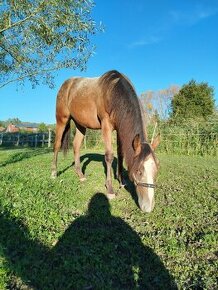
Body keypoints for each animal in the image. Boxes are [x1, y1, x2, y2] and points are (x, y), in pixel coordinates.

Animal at [51, 69, 160, 212]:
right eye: (139, 171)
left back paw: (80, 175)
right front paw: (110, 189)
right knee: (57, 145)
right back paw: (53, 173)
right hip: (62, 119)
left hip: (80, 125)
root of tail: (67, 84)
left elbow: (121, 154)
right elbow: (109, 156)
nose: (148, 207)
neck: (113, 91)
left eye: (156, 170)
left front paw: (121, 181)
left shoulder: (119, 128)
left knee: (76, 146)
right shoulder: (106, 125)